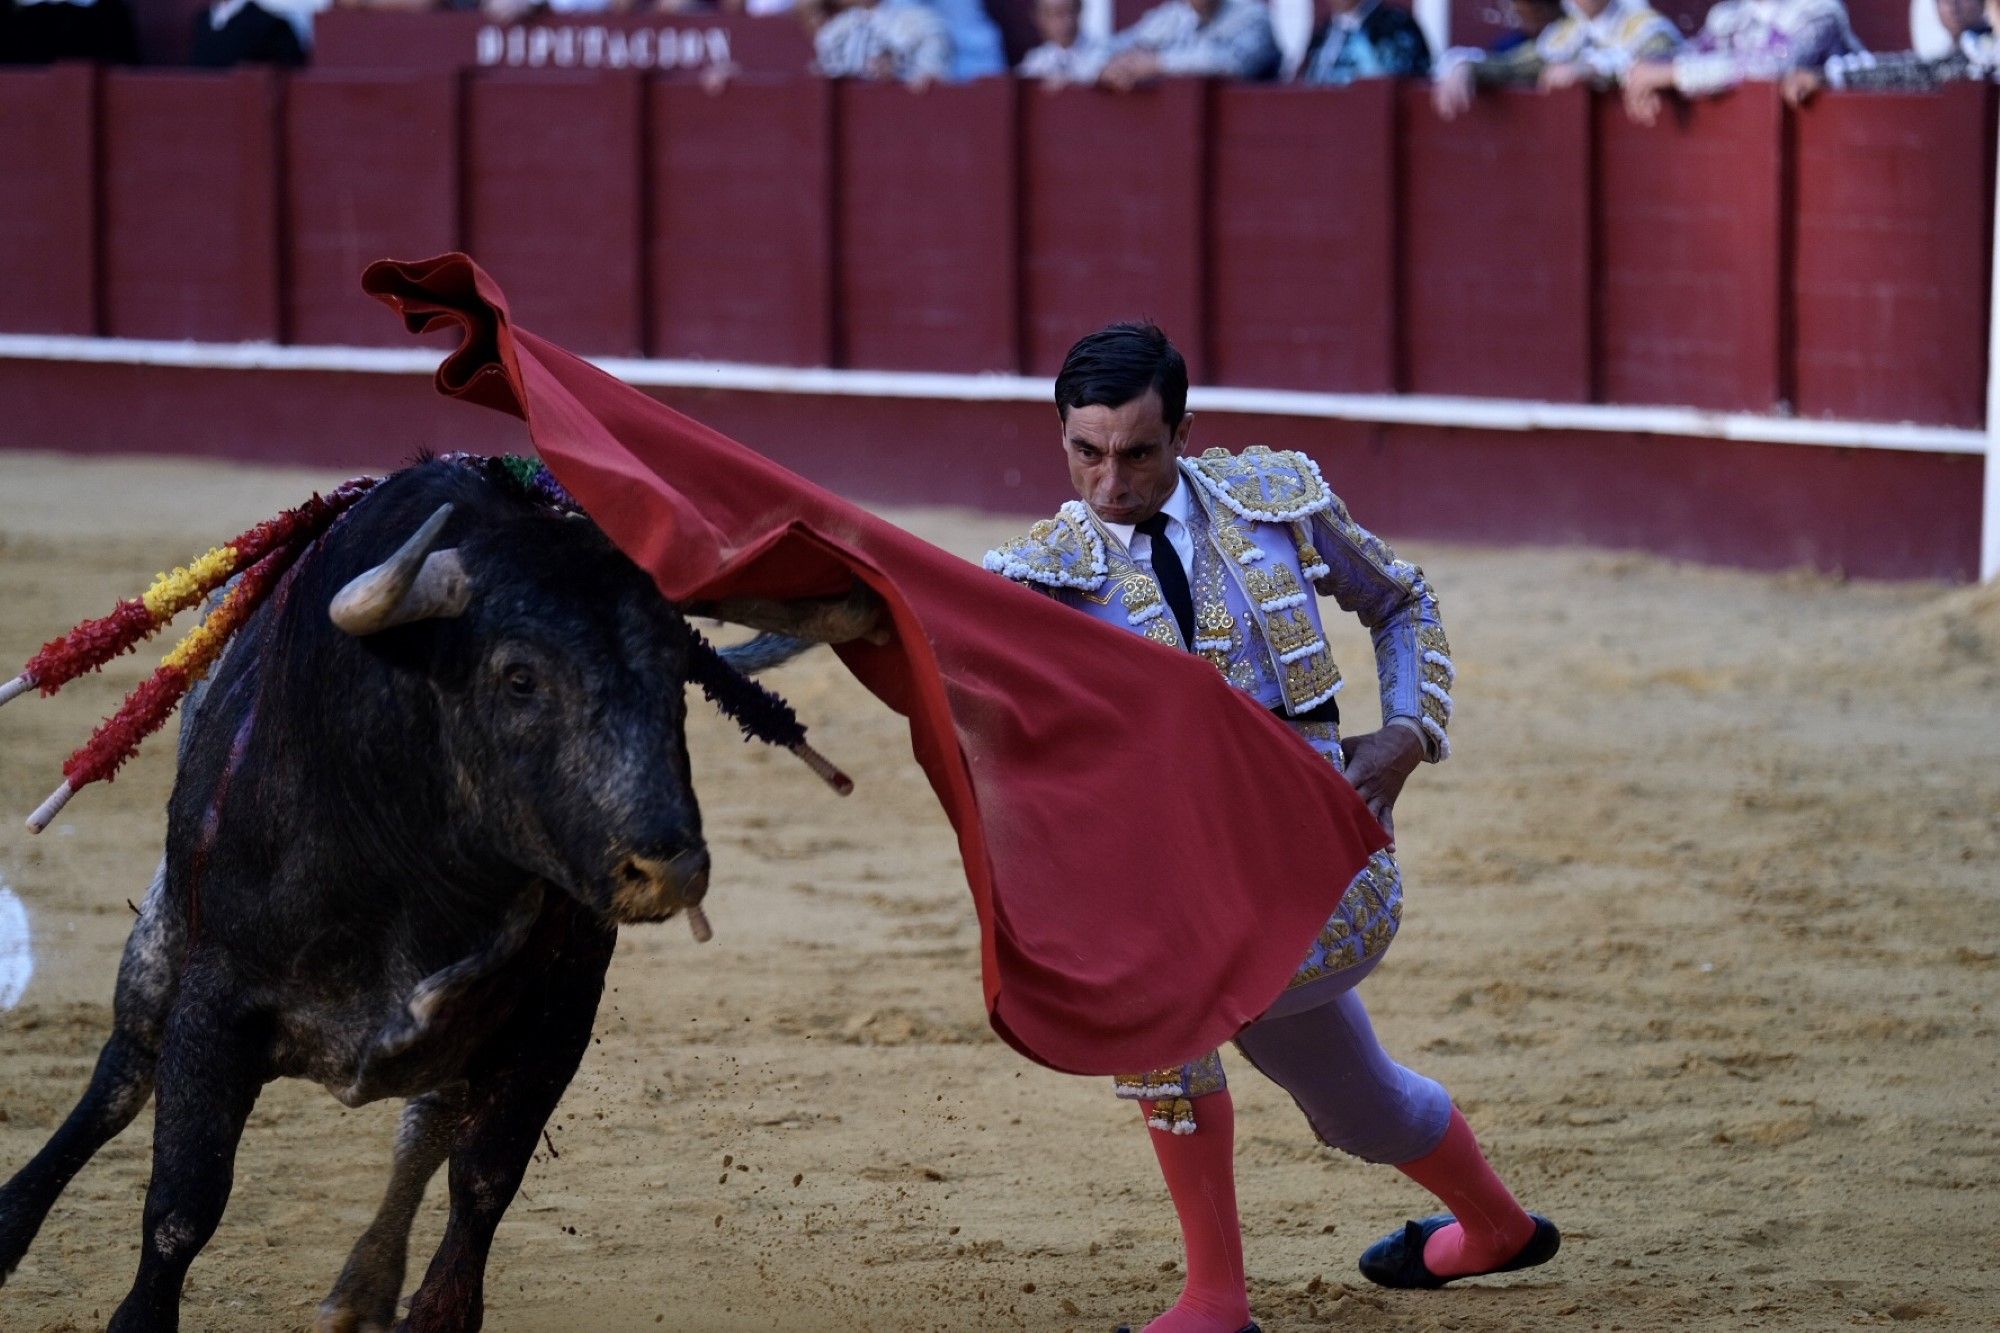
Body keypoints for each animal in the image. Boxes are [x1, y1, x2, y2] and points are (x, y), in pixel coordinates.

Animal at [0, 460, 876, 1328]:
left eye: (679, 679)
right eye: (518, 676)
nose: (671, 868)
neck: (416, 858)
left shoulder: (556, 1014)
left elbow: (482, 1176)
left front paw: (431, 1305)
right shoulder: (217, 996)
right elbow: (184, 1200)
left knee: (423, 1130)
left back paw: (362, 1288)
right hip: (163, 938)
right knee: (124, 1069)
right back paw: (14, 1222)